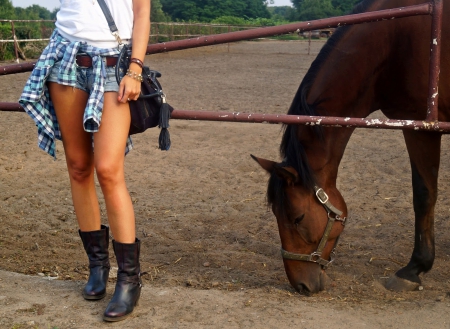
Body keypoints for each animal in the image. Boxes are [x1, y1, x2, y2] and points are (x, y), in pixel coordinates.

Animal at [251, 0, 448, 294]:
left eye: (297, 218)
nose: (301, 286)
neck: (393, 42)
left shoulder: (418, 124)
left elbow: (424, 194)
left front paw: (414, 269)